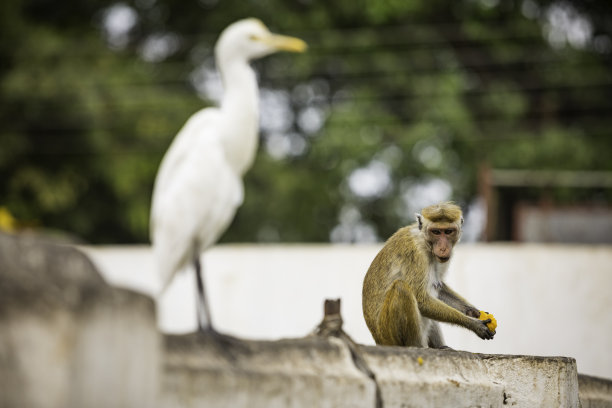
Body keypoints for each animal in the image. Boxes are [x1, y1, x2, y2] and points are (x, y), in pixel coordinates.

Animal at [360, 201, 494, 348]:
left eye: (448, 231)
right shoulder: (415, 254)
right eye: (436, 232)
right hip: (388, 334)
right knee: (401, 288)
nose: (443, 248)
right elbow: (421, 299)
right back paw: (416, 346)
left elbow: (439, 287)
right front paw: (473, 323)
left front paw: (471, 311)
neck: (424, 241)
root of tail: (379, 340)